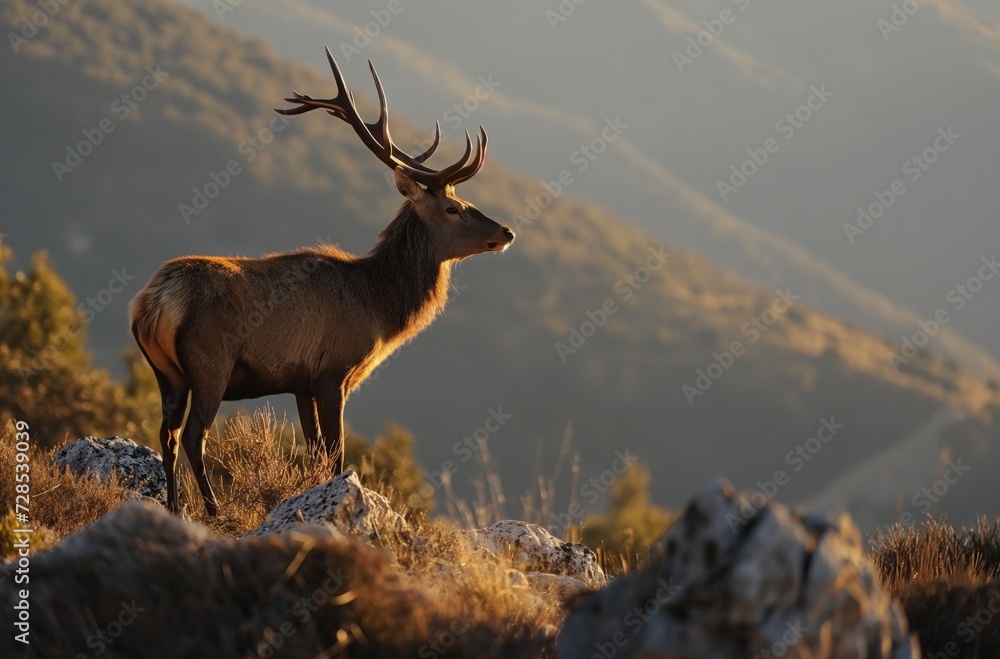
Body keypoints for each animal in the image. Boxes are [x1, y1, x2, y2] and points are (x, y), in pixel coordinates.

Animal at [129, 47, 515, 516]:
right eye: (453, 208)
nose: (506, 232)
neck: (379, 306)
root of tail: (153, 303)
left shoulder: (301, 383)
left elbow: (314, 453)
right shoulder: (334, 372)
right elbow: (335, 456)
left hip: (165, 372)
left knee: (165, 435)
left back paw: (174, 506)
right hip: (210, 365)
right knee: (192, 436)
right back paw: (212, 508)